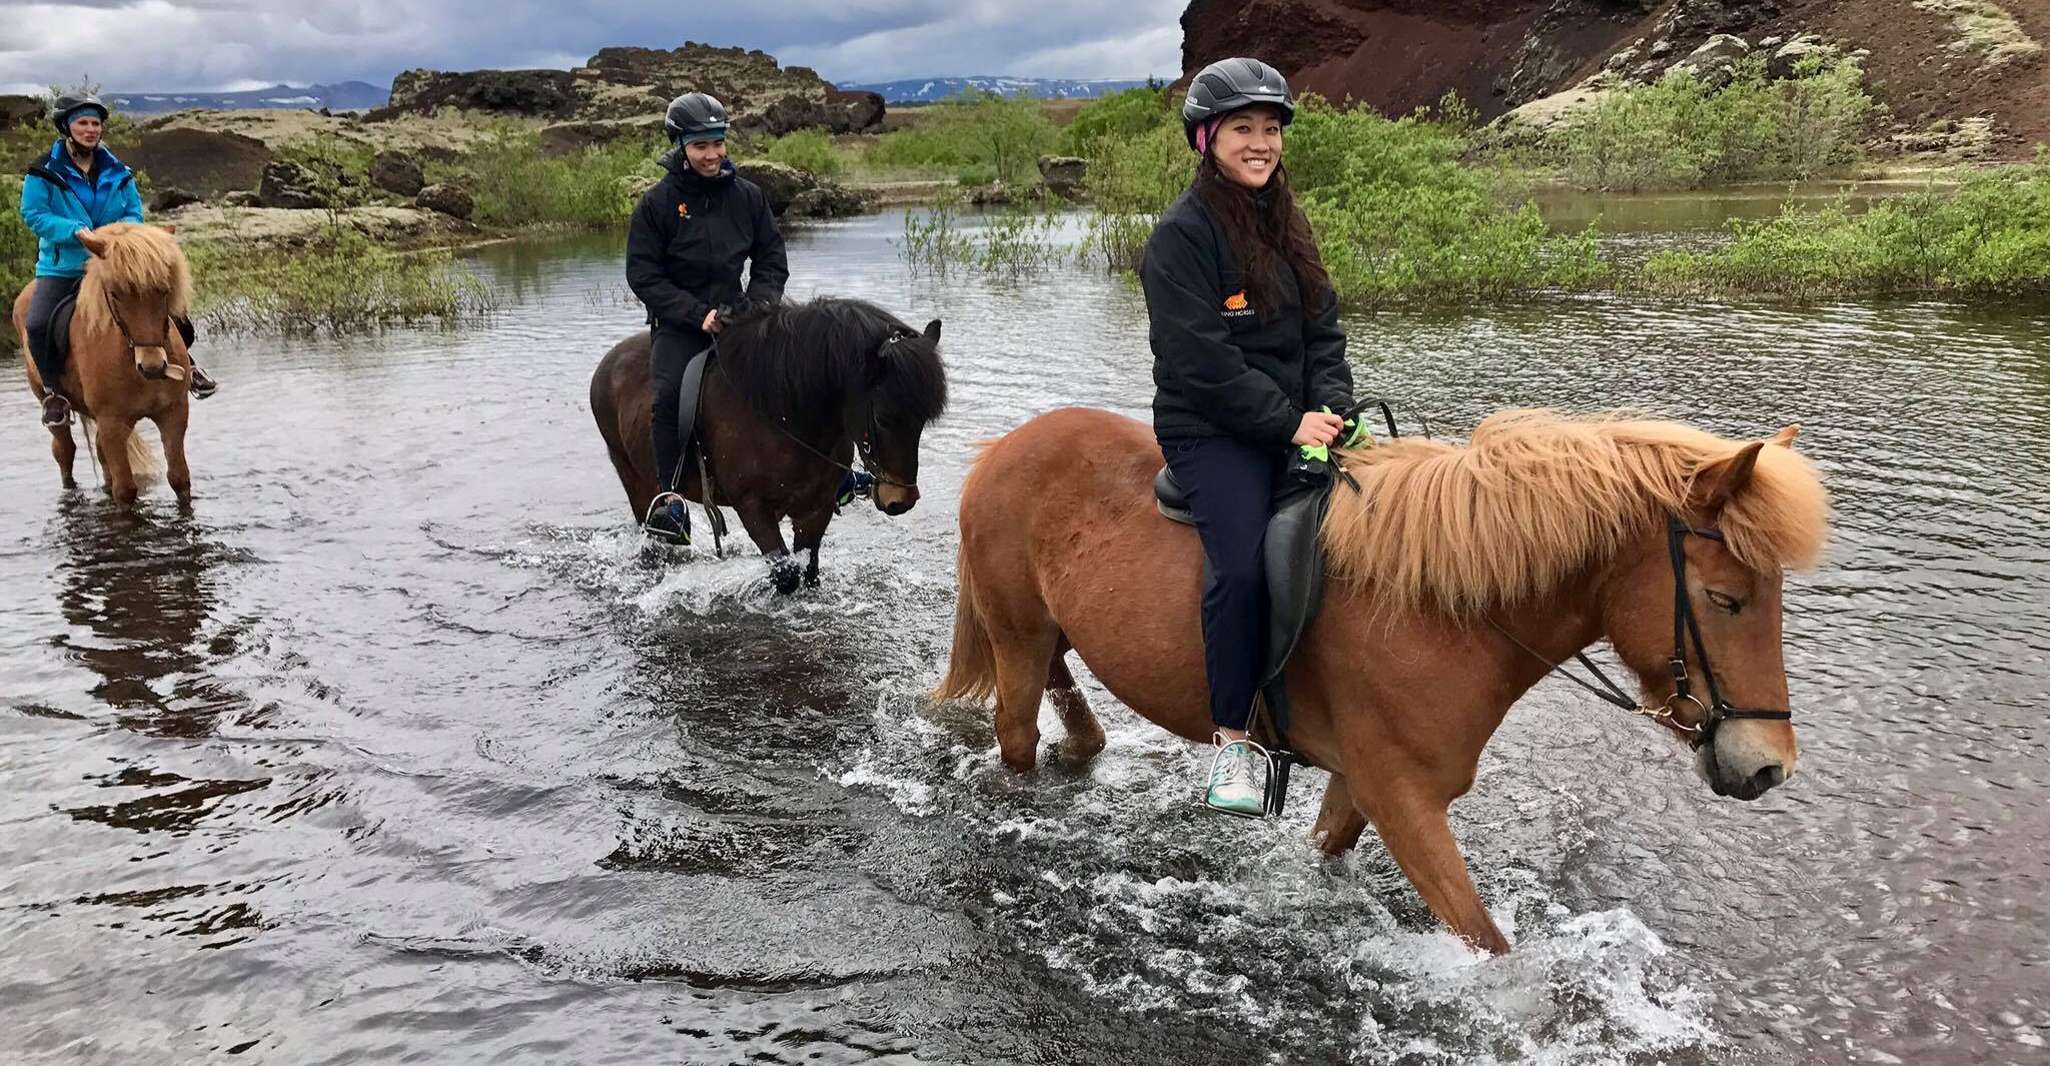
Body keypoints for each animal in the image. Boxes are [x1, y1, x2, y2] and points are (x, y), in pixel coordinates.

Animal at [13, 222, 195, 506]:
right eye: (115, 294)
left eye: (164, 290)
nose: (153, 367)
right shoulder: (112, 423)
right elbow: (126, 491)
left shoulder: (173, 413)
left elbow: (179, 479)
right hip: (51, 404)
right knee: (64, 451)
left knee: (99, 454)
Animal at [590, 297, 947, 590]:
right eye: (884, 418)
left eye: (923, 419)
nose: (900, 500)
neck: (783, 417)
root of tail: (609, 362)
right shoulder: (753, 508)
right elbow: (786, 575)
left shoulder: (816, 507)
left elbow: (810, 571)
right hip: (635, 480)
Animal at [938, 405, 1836, 951]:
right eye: (1726, 599)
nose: (1768, 766)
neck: (1440, 610)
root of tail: (1002, 451)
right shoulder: (1403, 796)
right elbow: (1485, 941)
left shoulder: (1360, 785)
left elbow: (1329, 853)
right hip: (1017, 638)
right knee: (1015, 735)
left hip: (1049, 633)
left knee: (1064, 691)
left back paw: (1084, 745)